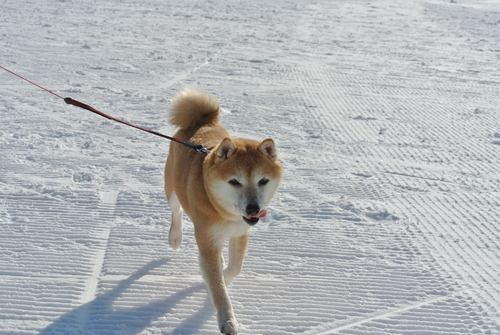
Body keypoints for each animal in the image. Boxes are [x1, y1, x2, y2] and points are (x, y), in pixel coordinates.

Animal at [163, 88, 282, 334]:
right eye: (234, 182)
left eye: (263, 181)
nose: (254, 208)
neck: (224, 212)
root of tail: (203, 121)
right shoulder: (207, 239)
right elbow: (217, 287)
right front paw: (227, 320)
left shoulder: (240, 234)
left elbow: (235, 267)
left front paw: (225, 274)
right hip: (172, 189)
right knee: (176, 211)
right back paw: (175, 236)